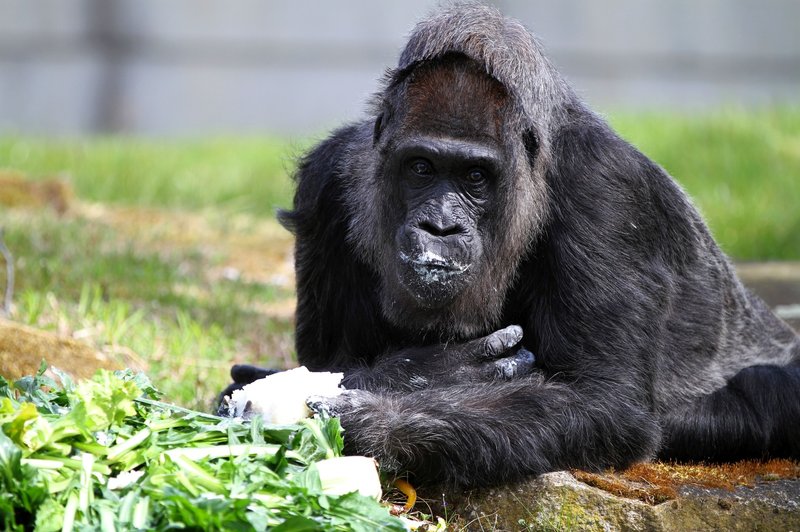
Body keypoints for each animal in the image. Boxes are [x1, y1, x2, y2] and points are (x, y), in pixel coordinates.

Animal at [223, 4, 800, 488]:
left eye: (475, 177)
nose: (439, 227)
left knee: (769, 390)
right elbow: (325, 360)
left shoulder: (606, 191)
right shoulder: (325, 182)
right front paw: (423, 373)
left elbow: (603, 402)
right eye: (421, 168)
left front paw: (380, 421)